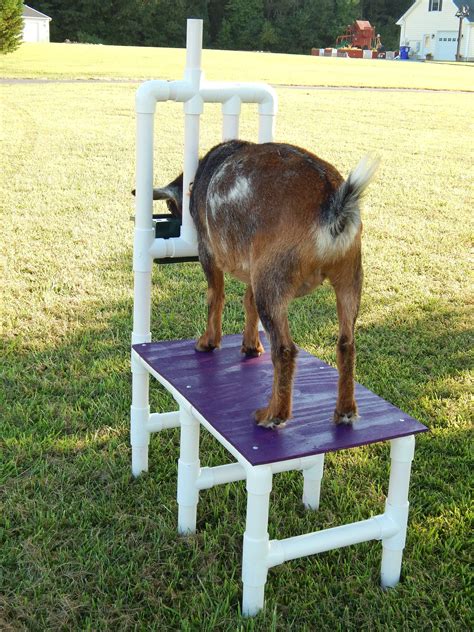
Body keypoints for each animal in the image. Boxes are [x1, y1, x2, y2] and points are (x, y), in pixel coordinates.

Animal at [150, 141, 380, 430]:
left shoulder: (208, 252)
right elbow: (248, 304)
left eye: (171, 207)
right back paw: (345, 411)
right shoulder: (252, 269)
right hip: (349, 279)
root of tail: (334, 205)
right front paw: (251, 346)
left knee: (284, 349)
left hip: (272, 283)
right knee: (346, 344)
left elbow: (216, 296)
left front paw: (208, 342)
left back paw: (273, 415)